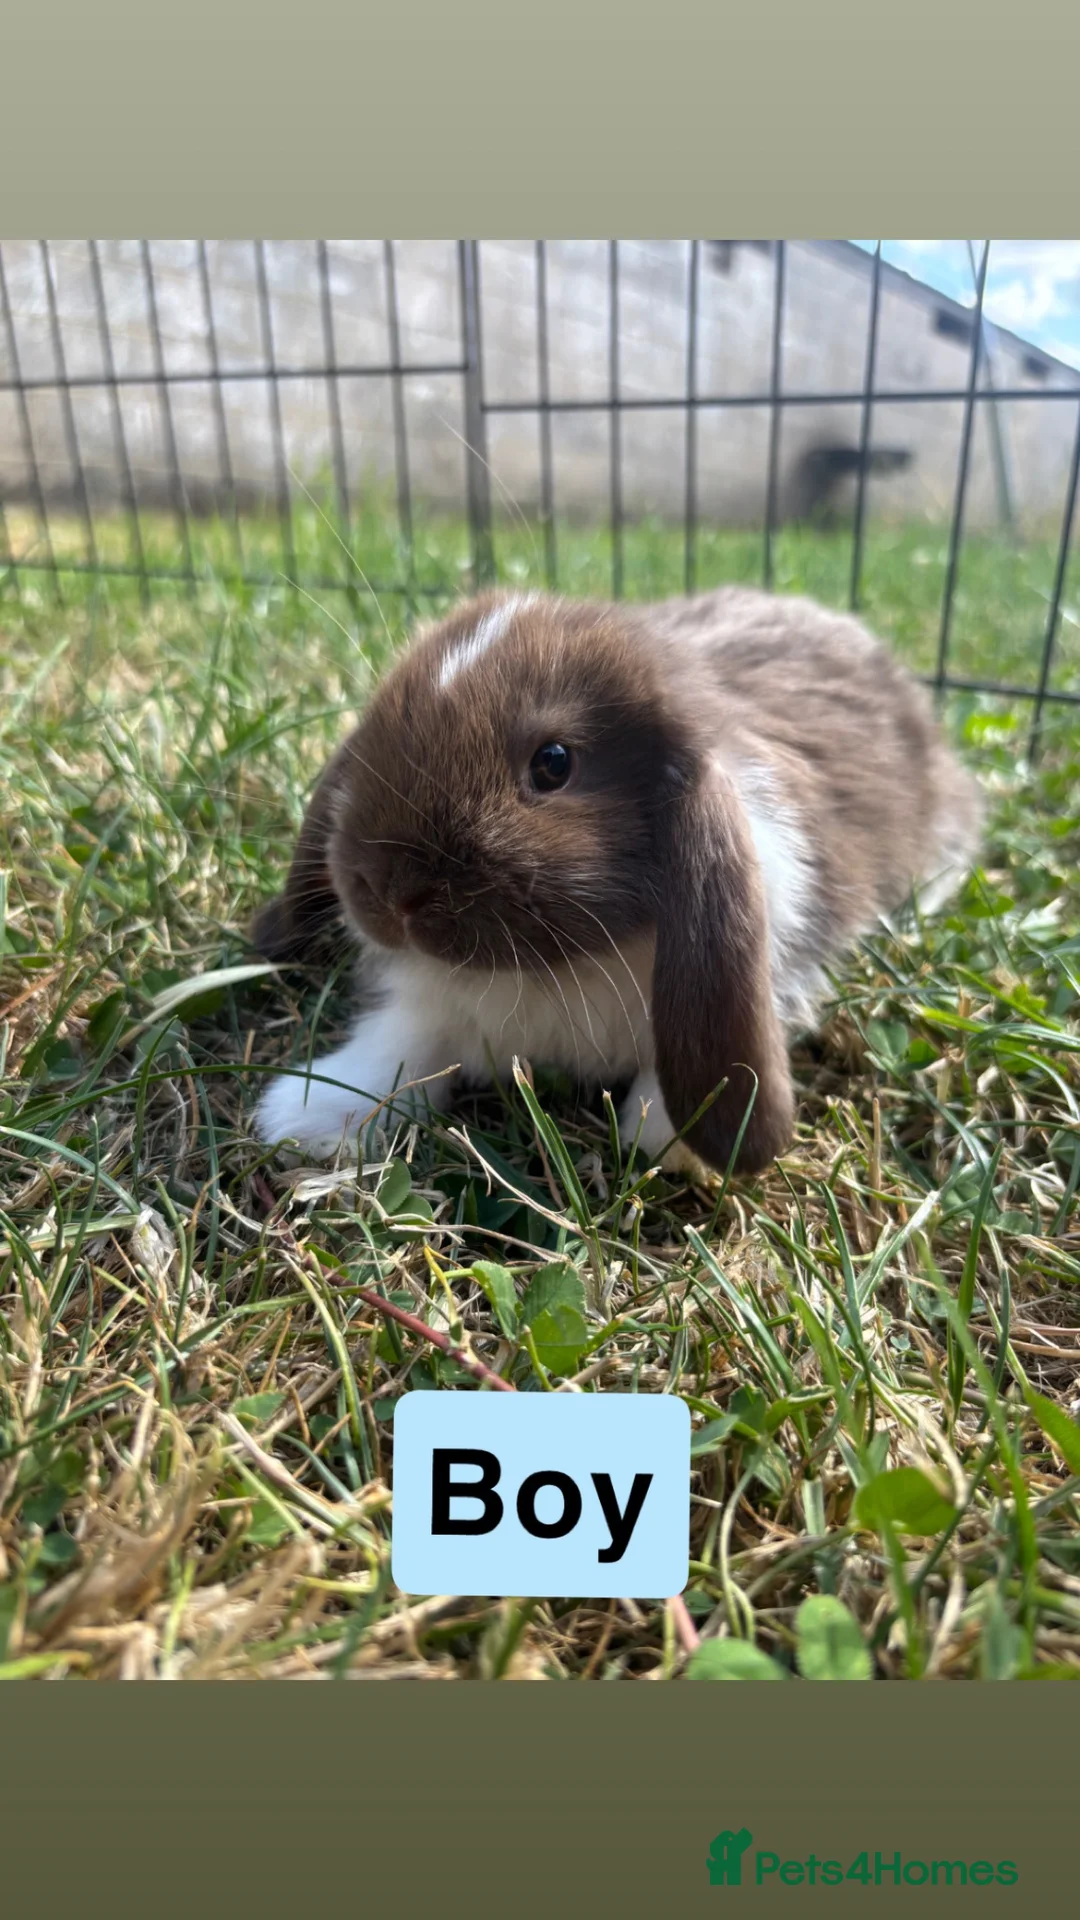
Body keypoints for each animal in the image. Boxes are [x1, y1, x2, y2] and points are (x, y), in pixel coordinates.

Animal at [250, 585, 983, 1177]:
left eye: (553, 762)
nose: (388, 892)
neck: (558, 969)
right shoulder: (436, 1010)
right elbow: (402, 1043)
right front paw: (309, 1113)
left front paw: (666, 1141)